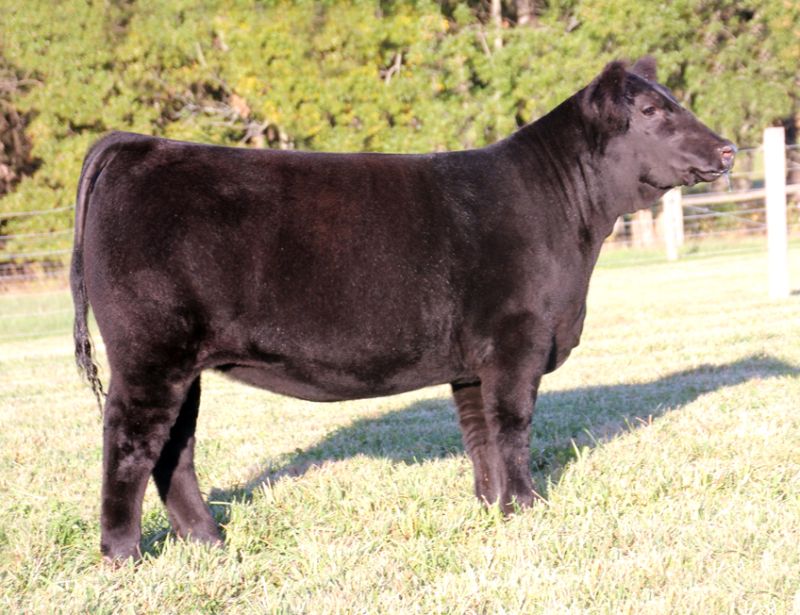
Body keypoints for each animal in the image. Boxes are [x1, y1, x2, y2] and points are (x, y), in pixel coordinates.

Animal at [71, 57, 735, 562]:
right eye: (650, 112)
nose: (727, 150)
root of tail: (136, 144)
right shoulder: (517, 341)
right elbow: (513, 425)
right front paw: (528, 508)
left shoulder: (473, 360)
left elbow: (480, 434)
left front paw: (492, 508)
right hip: (150, 351)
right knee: (130, 441)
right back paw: (125, 556)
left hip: (183, 360)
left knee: (174, 449)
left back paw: (209, 540)